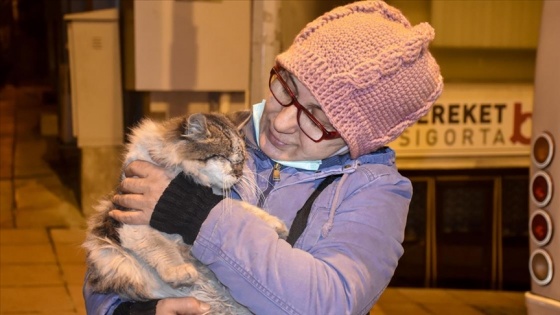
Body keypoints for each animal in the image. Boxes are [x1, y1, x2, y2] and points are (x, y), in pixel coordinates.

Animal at [83, 112, 288, 314]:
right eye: (225, 157)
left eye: (241, 160)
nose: (238, 174)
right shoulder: (133, 225)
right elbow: (163, 248)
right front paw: (181, 271)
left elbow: (241, 207)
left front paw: (277, 225)